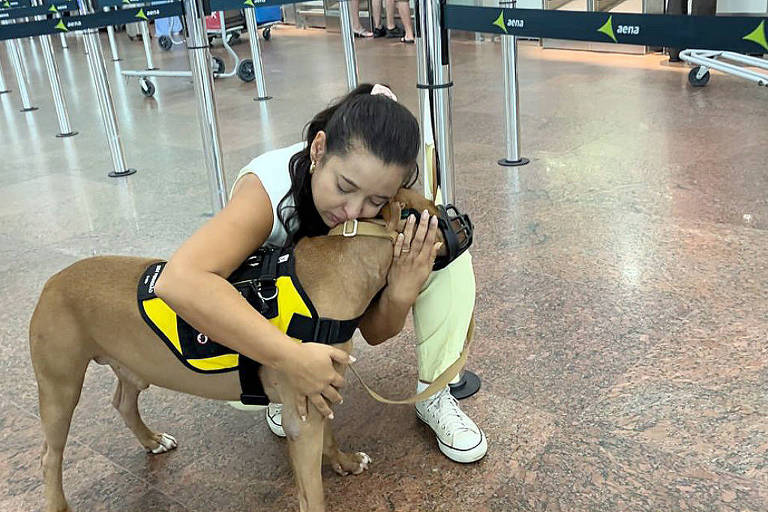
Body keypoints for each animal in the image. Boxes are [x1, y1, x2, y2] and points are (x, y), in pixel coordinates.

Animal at [30, 188, 440, 512]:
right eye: (435, 213)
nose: (457, 217)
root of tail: (51, 281)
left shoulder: (319, 394)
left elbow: (331, 436)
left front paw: (346, 461)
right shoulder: (302, 414)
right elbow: (314, 492)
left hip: (130, 367)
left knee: (123, 402)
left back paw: (152, 440)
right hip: (60, 386)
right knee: (50, 455)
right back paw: (58, 503)